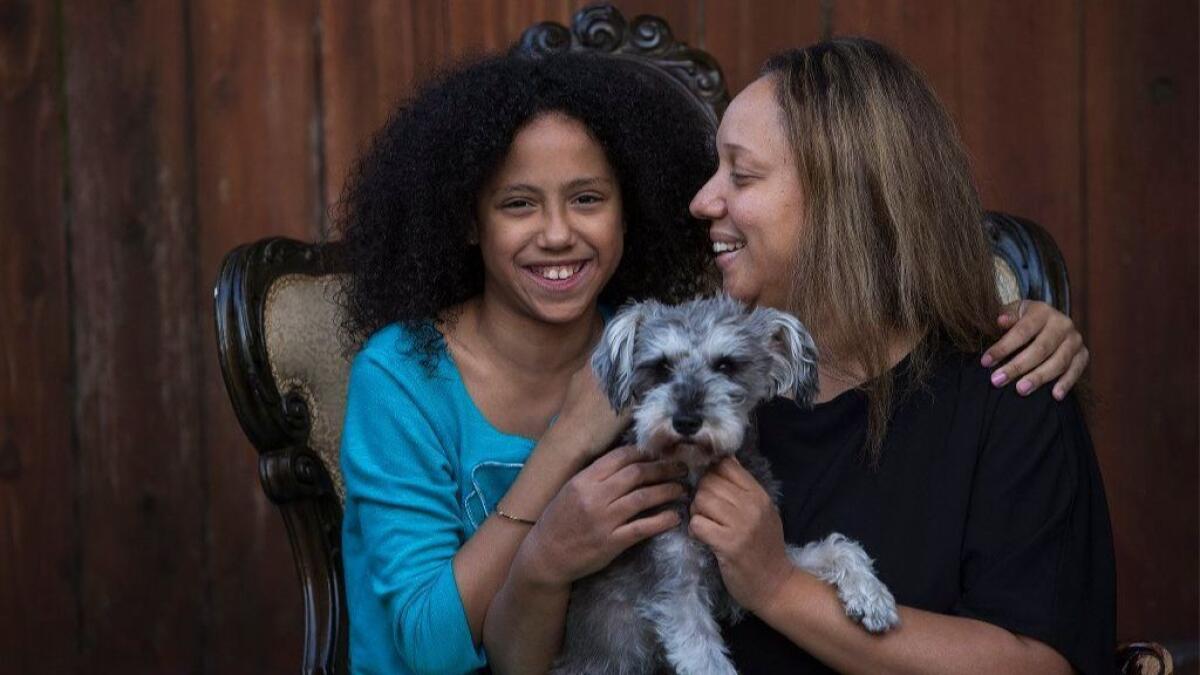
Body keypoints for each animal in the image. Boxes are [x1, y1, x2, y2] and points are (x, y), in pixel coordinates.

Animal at [554, 296, 902, 672]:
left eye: (726, 365)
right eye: (661, 367)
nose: (686, 421)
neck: (694, 475)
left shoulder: (748, 571)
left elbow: (834, 547)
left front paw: (872, 596)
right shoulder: (677, 591)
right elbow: (706, 659)